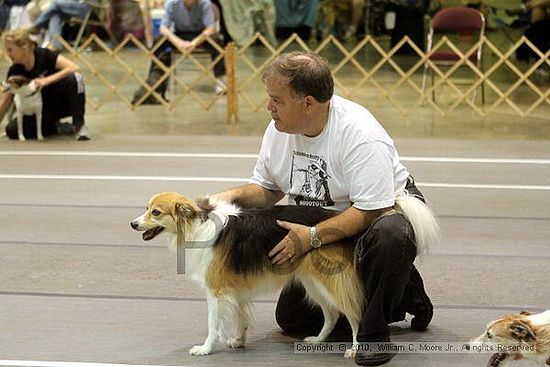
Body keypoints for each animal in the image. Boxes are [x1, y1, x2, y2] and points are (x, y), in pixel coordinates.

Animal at [130, 193, 440, 356]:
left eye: (155, 212)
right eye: (146, 209)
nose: (133, 224)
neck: (195, 226)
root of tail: (332, 220)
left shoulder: (216, 292)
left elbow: (212, 324)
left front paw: (205, 349)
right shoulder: (235, 291)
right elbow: (240, 318)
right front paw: (238, 341)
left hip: (330, 282)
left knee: (354, 313)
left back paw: (356, 348)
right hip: (311, 282)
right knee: (331, 315)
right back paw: (318, 340)